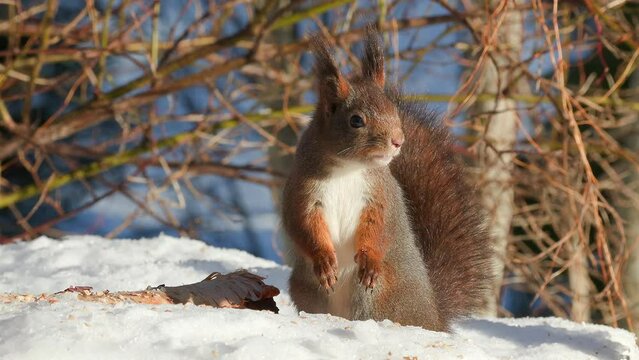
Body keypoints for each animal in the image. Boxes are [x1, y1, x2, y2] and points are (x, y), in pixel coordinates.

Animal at [282, 28, 498, 332]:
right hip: (307, 287)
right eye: (356, 120)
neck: (348, 170)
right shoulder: (303, 193)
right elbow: (303, 226)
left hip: (381, 291)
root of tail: (432, 317)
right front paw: (324, 260)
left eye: (395, 114)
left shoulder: (381, 197)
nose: (398, 141)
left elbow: (379, 228)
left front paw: (370, 259)